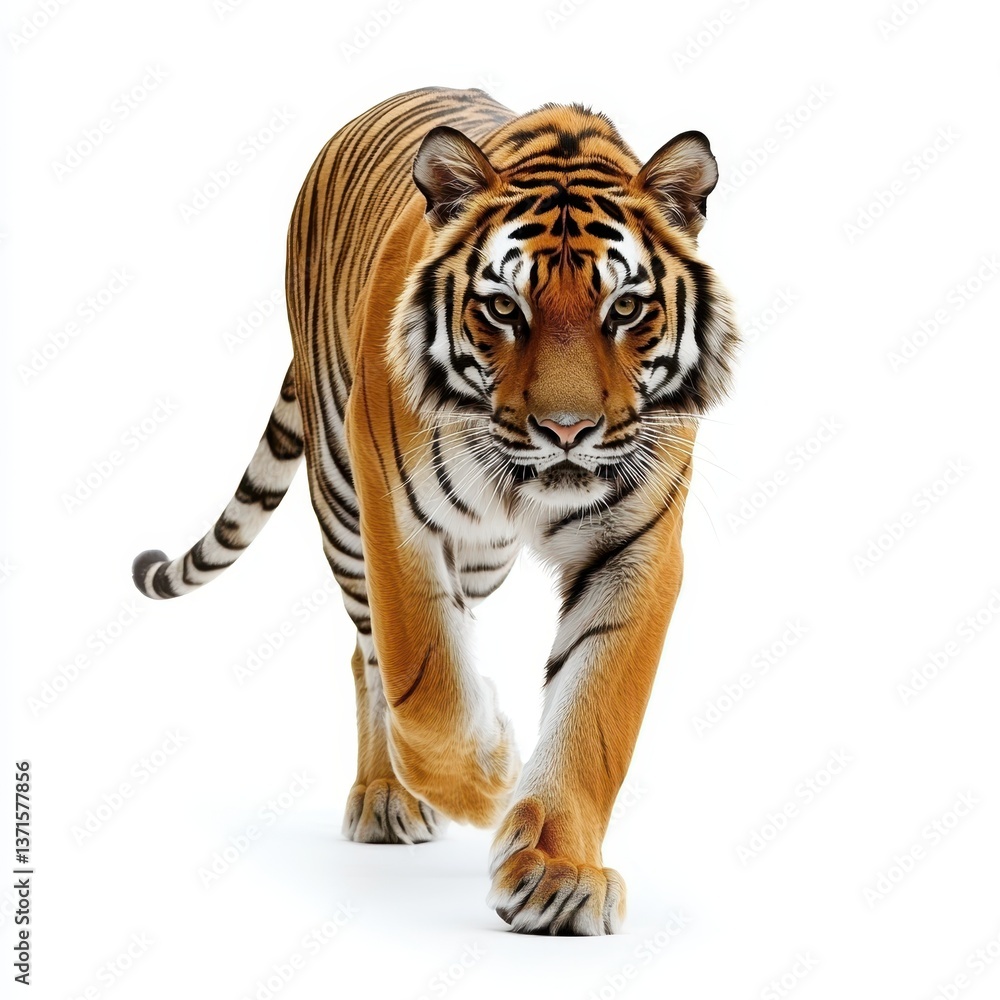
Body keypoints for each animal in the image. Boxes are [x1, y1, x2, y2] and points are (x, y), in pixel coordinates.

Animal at [132, 86, 738, 936]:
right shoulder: (394, 511)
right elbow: (421, 676)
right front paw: (488, 777)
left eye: (624, 309)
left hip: (481, 553)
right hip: (342, 498)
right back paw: (390, 795)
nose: (567, 430)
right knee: (371, 655)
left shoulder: (636, 547)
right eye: (503, 308)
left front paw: (559, 874)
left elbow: (595, 717)